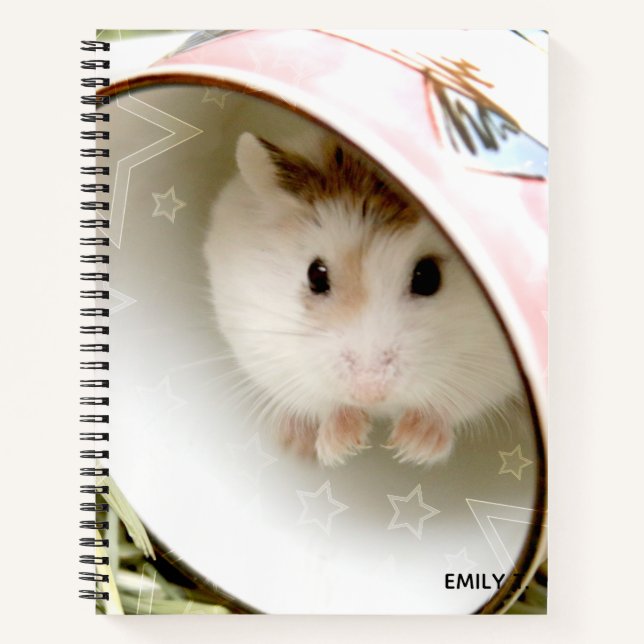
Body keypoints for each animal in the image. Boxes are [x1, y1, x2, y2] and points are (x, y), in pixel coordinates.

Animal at [204, 130, 521, 467]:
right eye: (316, 275)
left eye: (428, 277)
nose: (370, 394)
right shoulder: (261, 341)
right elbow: (322, 402)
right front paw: (341, 449)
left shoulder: (489, 366)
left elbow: (447, 406)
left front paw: (409, 448)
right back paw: (295, 444)